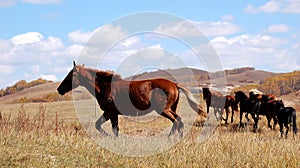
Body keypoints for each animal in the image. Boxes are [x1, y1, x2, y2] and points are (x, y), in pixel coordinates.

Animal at [56, 62, 206, 137]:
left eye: (70, 75)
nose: (59, 89)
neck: (106, 87)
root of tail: (174, 84)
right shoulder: (108, 113)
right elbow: (98, 125)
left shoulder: (112, 113)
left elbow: (114, 129)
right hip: (170, 108)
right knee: (178, 121)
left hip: (163, 109)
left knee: (177, 121)